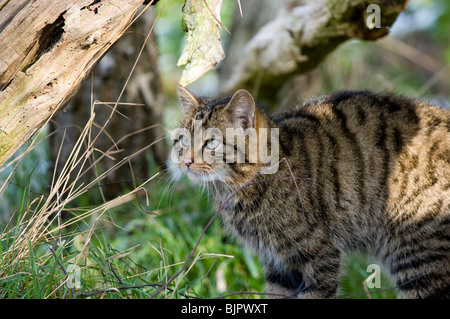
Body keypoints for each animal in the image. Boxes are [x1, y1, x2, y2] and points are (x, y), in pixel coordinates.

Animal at [171, 85, 448, 300]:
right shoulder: (280, 266)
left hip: (419, 256)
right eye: (183, 139)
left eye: (211, 142)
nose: (185, 161)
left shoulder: (320, 257)